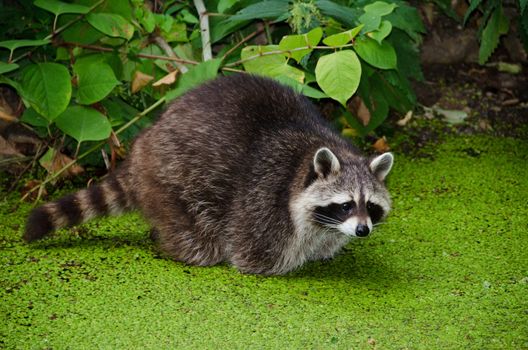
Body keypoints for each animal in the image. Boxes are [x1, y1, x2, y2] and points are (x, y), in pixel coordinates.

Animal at [26, 75, 394, 274]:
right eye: (345, 205)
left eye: (370, 206)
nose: (362, 230)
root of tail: (144, 143)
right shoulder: (264, 199)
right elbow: (255, 256)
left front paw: (324, 250)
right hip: (174, 177)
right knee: (198, 238)